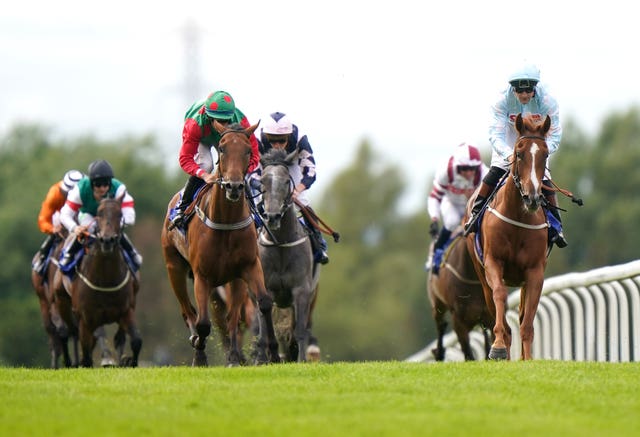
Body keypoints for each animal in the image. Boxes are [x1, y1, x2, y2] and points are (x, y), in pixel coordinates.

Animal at [52, 194, 142, 364]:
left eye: (119, 214)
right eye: (99, 213)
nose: (107, 240)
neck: (106, 279)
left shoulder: (127, 311)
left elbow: (136, 341)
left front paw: (128, 361)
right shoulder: (86, 319)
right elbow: (87, 352)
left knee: (118, 339)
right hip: (62, 302)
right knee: (66, 332)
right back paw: (69, 362)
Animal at [159, 120, 278, 364]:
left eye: (248, 151)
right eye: (222, 149)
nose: (233, 186)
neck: (226, 222)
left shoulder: (249, 266)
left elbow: (264, 303)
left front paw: (272, 353)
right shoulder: (202, 276)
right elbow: (203, 323)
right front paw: (200, 357)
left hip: (233, 281)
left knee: (232, 318)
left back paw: (234, 355)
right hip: (174, 267)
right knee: (189, 312)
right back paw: (196, 341)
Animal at [464, 114, 552, 360]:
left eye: (545, 154)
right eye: (519, 153)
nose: (533, 198)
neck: (517, 218)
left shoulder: (535, 271)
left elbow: (527, 321)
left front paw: (528, 359)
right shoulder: (493, 262)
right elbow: (500, 296)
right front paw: (498, 345)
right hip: (481, 273)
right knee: (496, 303)